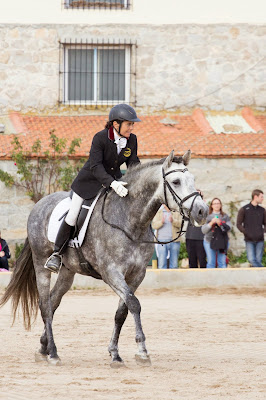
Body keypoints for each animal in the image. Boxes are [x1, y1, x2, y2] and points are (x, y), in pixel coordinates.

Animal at [0, 151, 208, 368]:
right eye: (176, 182)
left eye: (193, 179)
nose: (202, 211)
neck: (130, 220)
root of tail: (38, 204)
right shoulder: (111, 272)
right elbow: (134, 304)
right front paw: (142, 351)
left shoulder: (137, 275)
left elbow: (122, 312)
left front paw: (115, 353)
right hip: (41, 263)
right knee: (45, 306)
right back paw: (53, 353)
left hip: (68, 271)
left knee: (53, 300)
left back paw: (43, 348)